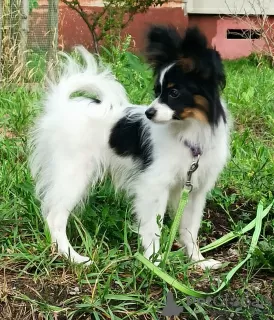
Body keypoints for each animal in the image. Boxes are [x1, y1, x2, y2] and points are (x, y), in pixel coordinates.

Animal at [28, 25, 230, 270]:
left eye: (173, 93)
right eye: (157, 91)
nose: (149, 113)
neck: (187, 131)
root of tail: (62, 105)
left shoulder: (194, 191)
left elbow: (189, 229)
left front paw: (197, 261)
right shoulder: (153, 186)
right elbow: (153, 228)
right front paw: (155, 262)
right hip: (73, 174)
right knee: (55, 217)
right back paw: (73, 257)